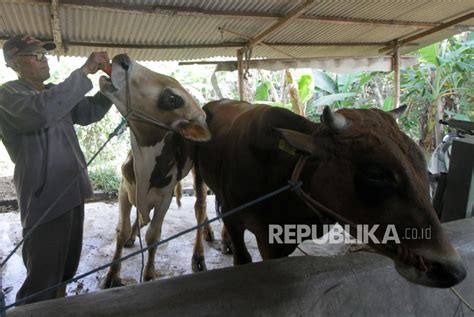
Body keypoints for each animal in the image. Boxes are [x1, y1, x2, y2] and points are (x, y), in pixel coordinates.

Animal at [99, 54, 214, 286]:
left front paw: (149, 274)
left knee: (200, 208)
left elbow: (153, 235)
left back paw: (199, 253)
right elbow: (122, 230)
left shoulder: (164, 198)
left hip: (199, 174)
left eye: (173, 99)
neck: (144, 166)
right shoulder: (124, 189)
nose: (122, 58)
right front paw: (112, 274)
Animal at [195, 100, 466, 288]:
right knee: (201, 207)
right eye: (376, 174)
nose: (450, 269)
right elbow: (242, 257)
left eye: (421, 160)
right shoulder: (236, 220)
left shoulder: (280, 240)